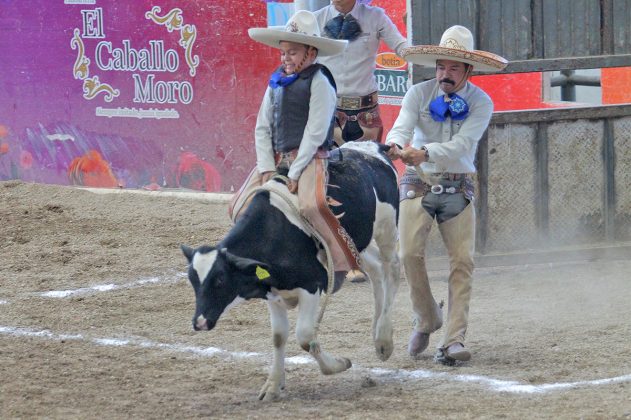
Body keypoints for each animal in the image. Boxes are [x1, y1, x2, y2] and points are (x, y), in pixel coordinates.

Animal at [181, 142, 400, 400]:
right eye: (193, 281)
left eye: (219, 281)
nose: (199, 322)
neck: (275, 233)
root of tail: (372, 147)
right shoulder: (272, 292)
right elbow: (278, 337)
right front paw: (273, 385)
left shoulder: (312, 286)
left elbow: (305, 337)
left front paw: (338, 365)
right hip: (357, 244)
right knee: (376, 270)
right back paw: (376, 332)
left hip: (387, 229)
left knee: (391, 271)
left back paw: (384, 339)